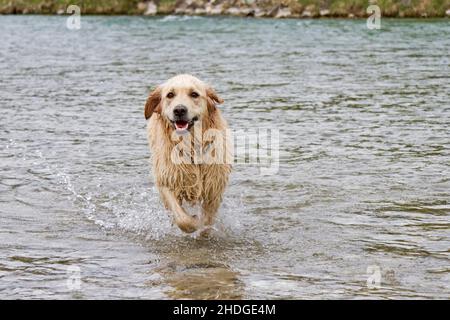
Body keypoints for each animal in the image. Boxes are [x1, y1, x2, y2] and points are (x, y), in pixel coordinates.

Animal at [145, 75, 232, 235]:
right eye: (170, 95)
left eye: (194, 94)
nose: (179, 110)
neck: (190, 145)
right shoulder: (167, 179)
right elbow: (183, 219)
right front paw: (193, 223)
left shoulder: (214, 186)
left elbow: (208, 218)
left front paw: (204, 228)